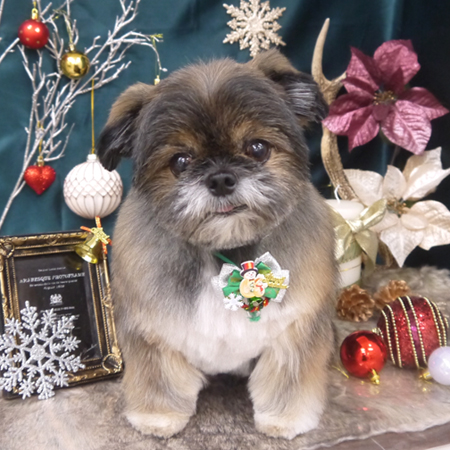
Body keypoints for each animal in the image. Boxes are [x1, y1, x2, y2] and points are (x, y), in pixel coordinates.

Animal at [97, 50, 338, 440]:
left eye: (257, 148)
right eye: (180, 161)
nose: (221, 178)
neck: (225, 250)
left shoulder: (297, 327)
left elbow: (289, 376)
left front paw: (286, 418)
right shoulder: (152, 329)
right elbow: (159, 373)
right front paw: (158, 415)